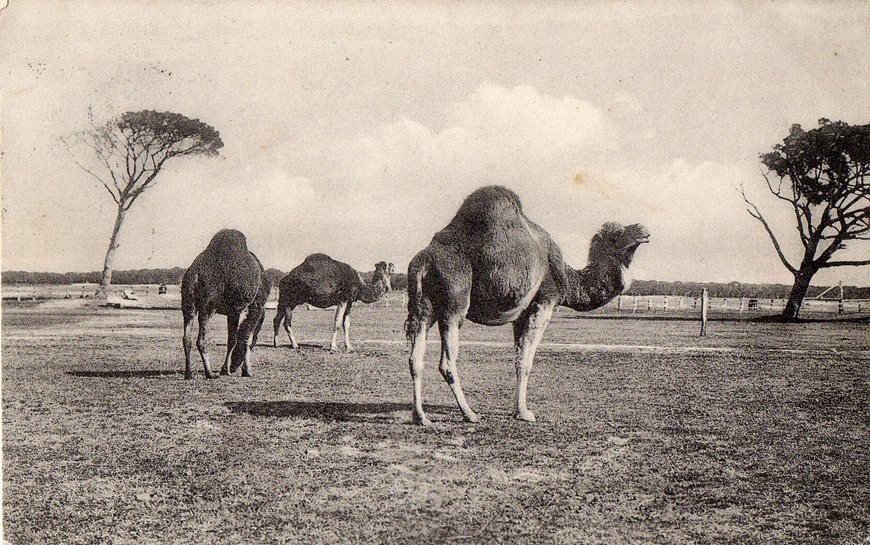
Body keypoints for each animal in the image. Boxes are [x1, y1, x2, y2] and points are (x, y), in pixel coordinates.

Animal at [180, 228, 270, 378]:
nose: (234, 367)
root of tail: (194, 274)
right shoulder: (257, 304)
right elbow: (246, 337)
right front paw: (247, 371)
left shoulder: (234, 311)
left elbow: (232, 340)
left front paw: (225, 369)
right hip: (208, 305)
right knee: (201, 339)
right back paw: (210, 373)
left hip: (188, 304)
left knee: (187, 338)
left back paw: (189, 373)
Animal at [406, 187, 652, 424]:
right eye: (619, 234)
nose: (643, 229)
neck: (567, 278)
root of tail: (423, 261)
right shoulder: (543, 303)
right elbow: (526, 362)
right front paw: (524, 413)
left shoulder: (521, 313)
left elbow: (517, 359)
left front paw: (518, 410)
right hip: (454, 302)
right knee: (447, 361)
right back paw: (470, 414)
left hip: (425, 307)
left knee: (415, 358)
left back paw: (421, 417)